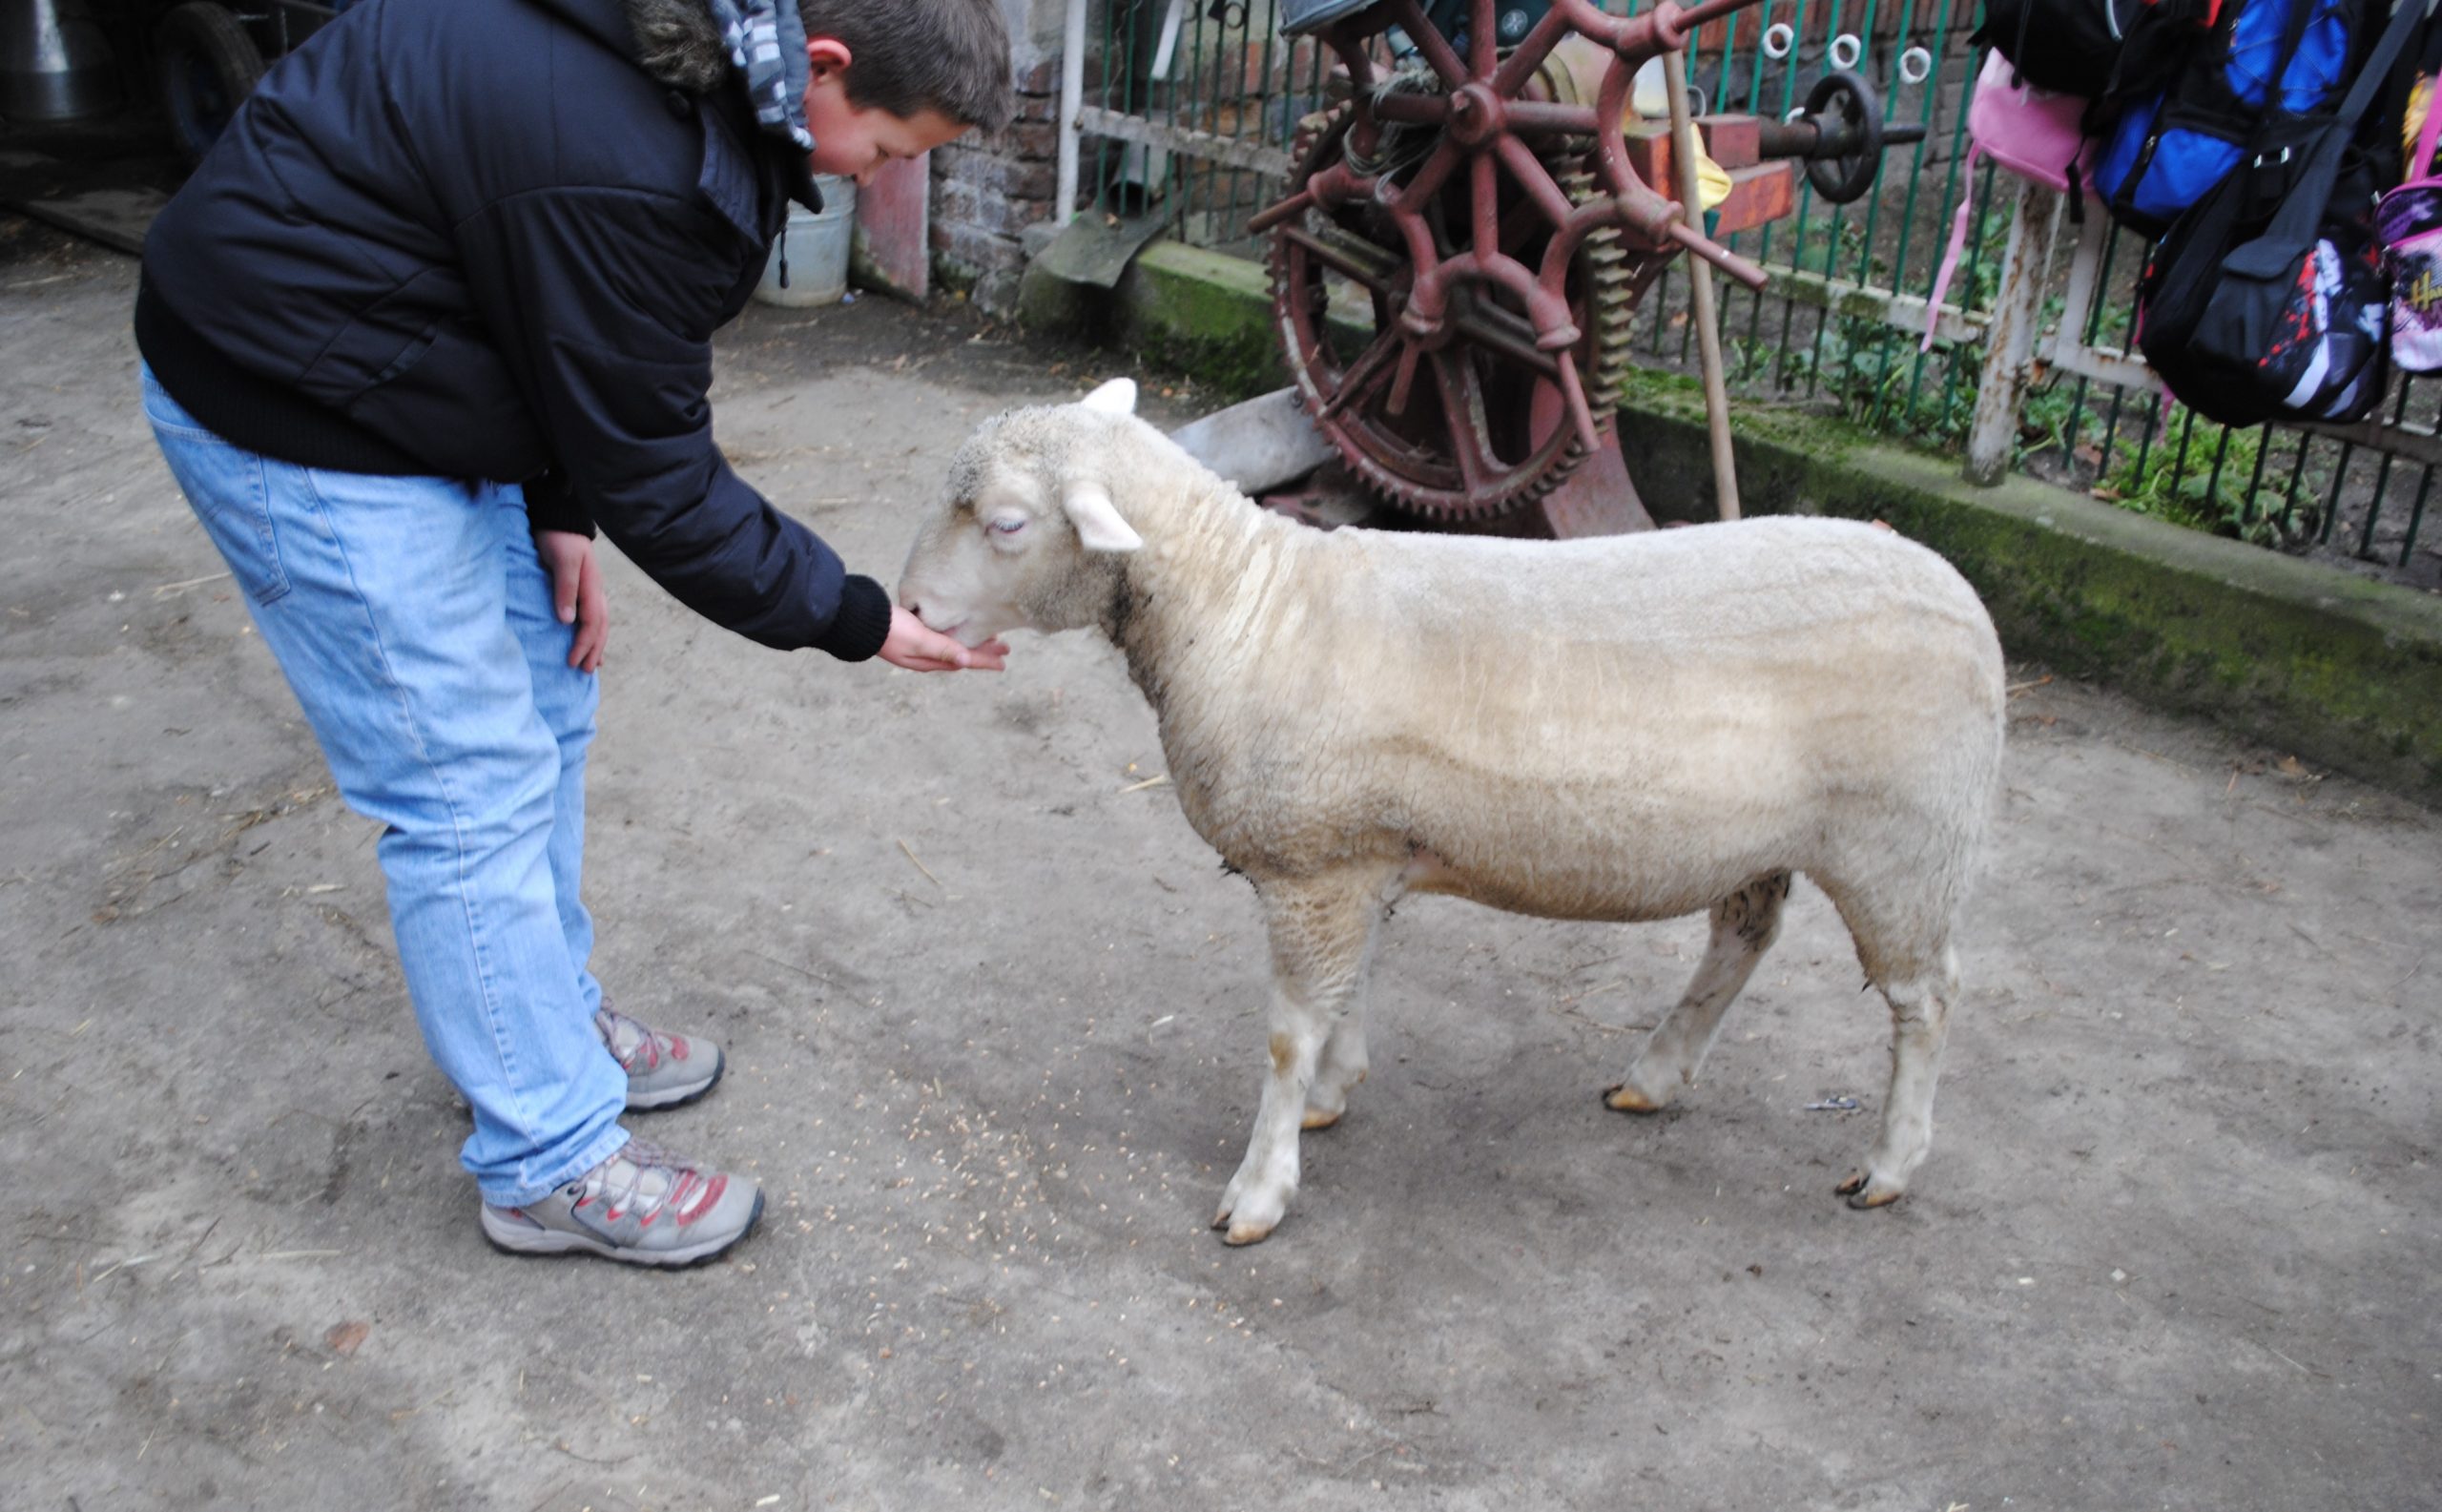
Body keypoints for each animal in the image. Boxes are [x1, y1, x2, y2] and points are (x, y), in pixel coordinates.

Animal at [899, 376, 2002, 1240]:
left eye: (1005, 523)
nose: (906, 611)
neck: (1242, 606)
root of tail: (1963, 597)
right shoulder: (1354, 856)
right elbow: (1345, 995)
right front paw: (1332, 1094)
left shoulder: (1310, 863)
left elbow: (1286, 1036)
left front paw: (1260, 1187)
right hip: (1769, 838)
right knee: (1745, 935)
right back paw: (1656, 1072)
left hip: (1902, 845)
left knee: (1928, 1000)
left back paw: (1889, 1164)